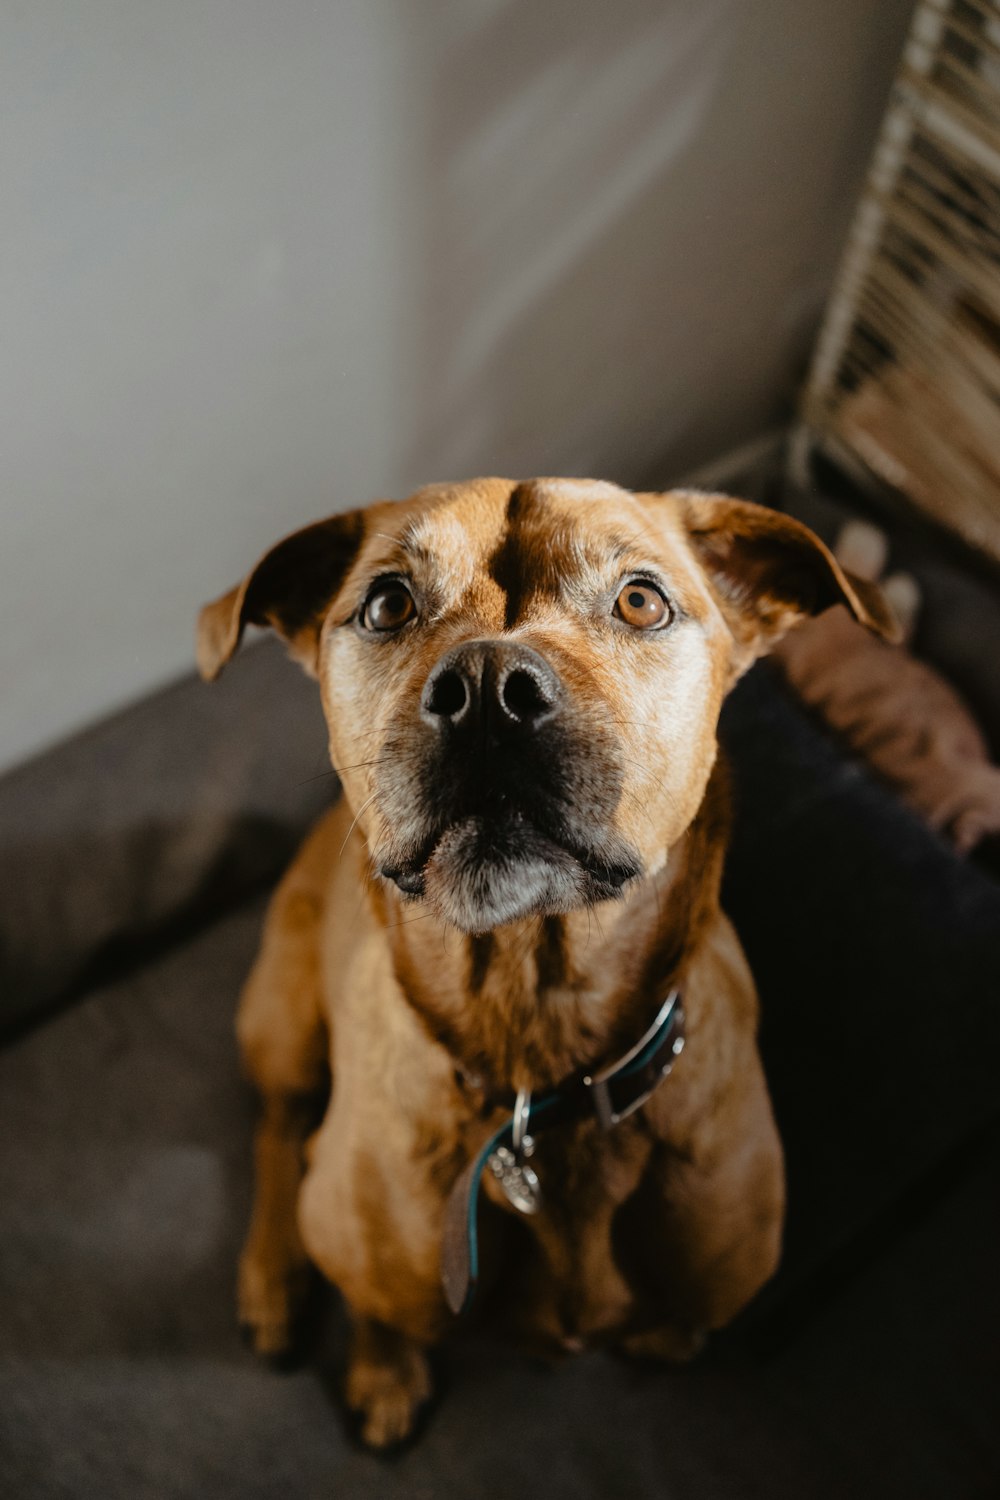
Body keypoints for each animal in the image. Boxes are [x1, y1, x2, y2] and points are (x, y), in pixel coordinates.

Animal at [194, 474, 893, 1446]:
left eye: (641, 600)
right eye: (386, 603)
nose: (489, 689)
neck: (537, 1037)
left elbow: (672, 1325)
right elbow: (379, 1304)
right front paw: (384, 1371)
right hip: (284, 1022)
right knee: (279, 1131)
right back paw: (272, 1281)